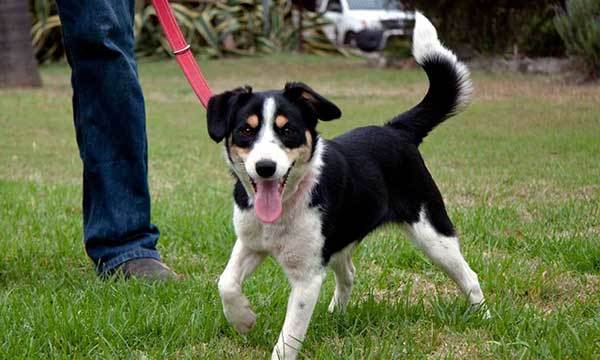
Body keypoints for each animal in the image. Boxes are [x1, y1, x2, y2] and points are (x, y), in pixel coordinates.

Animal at [209, 11, 486, 360]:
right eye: (246, 130)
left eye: (288, 131)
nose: (265, 167)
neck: (288, 203)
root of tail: (396, 129)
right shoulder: (250, 243)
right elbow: (226, 283)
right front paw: (243, 319)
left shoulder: (308, 276)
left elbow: (289, 337)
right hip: (343, 237)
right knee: (349, 272)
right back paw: (336, 314)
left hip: (433, 234)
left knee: (469, 275)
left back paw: (483, 316)